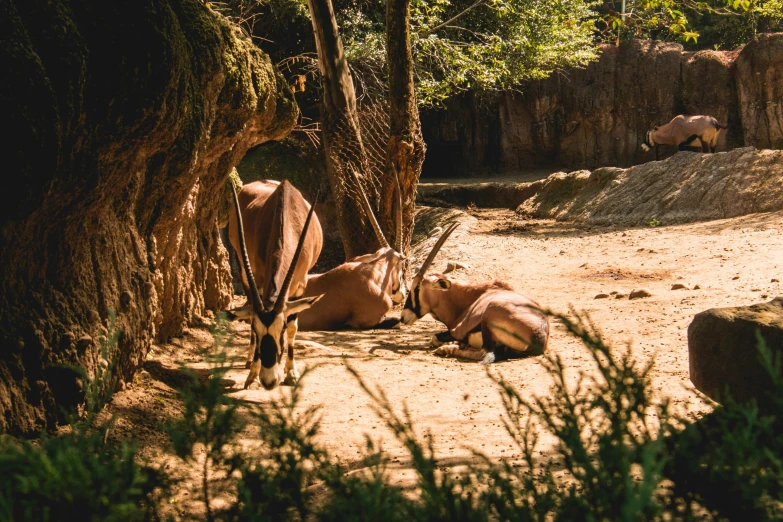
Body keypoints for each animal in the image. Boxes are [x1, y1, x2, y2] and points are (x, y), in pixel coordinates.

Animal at [225, 181, 324, 388]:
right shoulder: (259, 281)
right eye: (258, 330)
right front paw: (253, 375)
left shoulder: (300, 286)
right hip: (243, 267)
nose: (269, 382)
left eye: (282, 330)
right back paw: (249, 361)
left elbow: (294, 327)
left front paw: (291, 373)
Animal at [404, 223, 552, 362]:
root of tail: (538, 336)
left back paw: (447, 349)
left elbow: (434, 338)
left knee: (484, 353)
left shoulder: (457, 332)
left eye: (416, 288)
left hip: (490, 313)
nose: (403, 317)